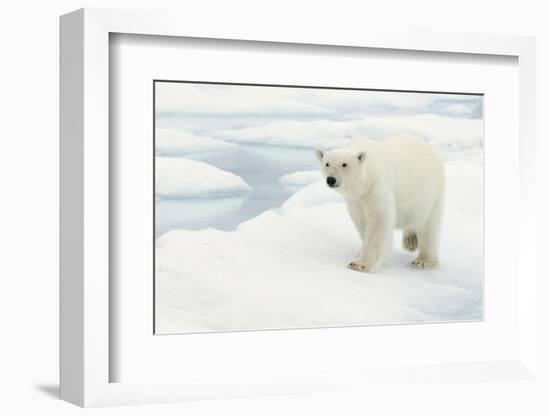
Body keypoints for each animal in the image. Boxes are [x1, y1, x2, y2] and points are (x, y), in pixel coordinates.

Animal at [316, 135, 446, 272]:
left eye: (344, 164)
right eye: (327, 163)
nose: (331, 179)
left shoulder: (377, 187)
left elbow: (379, 220)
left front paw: (360, 264)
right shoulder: (356, 201)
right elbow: (361, 221)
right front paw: (359, 253)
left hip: (430, 194)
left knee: (428, 226)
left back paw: (422, 261)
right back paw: (410, 241)